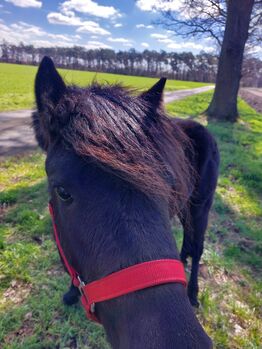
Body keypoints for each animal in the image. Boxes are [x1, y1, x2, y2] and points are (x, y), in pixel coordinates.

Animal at [33, 55, 220, 346]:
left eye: (168, 184)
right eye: (62, 191)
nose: (179, 341)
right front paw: (72, 294)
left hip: (201, 209)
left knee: (198, 248)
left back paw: (192, 293)